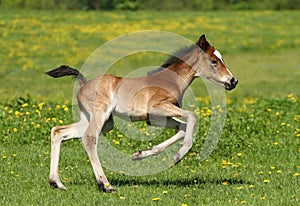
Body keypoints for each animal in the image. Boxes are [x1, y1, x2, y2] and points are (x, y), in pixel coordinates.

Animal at [47, 34, 238, 192]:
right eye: (214, 61)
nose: (233, 81)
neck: (171, 80)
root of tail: (84, 83)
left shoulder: (155, 119)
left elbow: (182, 128)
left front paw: (140, 155)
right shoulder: (157, 107)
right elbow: (192, 116)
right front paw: (178, 156)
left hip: (100, 121)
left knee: (59, 131)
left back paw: (57, 183)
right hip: (101, 115)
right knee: (89, 138)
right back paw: (105, 185)